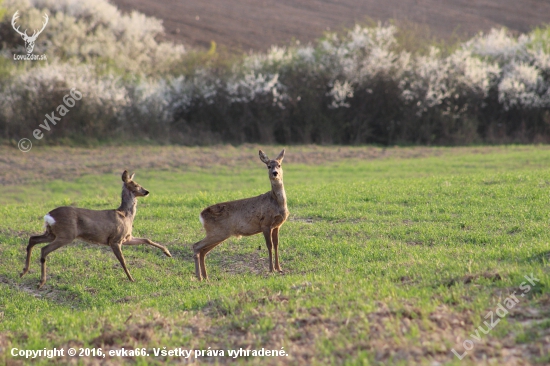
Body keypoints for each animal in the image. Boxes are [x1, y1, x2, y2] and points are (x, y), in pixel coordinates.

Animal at [20, 171, 170, 288]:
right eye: (136, 184)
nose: (146, 191)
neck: (125, 215)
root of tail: (49, 216)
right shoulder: (115, 240)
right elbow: (123, 260)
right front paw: (131, 279)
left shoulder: (126, 238)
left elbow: (146, 239)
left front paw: (167, 252)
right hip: (66, 235)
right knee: (44, 249)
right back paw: (41, 282)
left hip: (52, 233)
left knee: (32, 239)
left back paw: (24, 271)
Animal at [193, 149, 292, 280]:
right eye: (268, 166)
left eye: (279, 165)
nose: (275, 173)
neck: (277, 203)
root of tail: (201, 215)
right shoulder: (265, 224)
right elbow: (269, 245)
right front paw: (271, 269)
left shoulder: (277, 225)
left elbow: (276, 245)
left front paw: (279, 268)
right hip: (217, 232)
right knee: (196, 246)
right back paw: (199, 277)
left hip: (219, 234)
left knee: (203, 251)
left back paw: (205, 277)